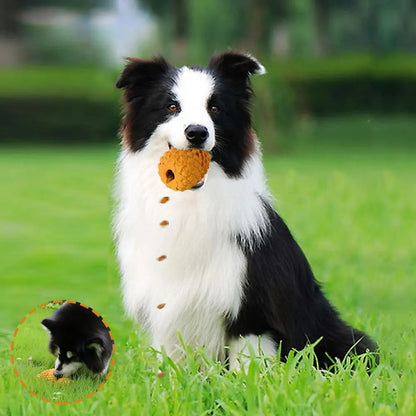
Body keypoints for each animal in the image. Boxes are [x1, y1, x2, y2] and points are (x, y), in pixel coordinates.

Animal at [114, 51, 376, 368]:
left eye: (215, 107)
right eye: (171, 106)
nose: (197, 132)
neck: (191, 202)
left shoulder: (251, 313)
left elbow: (247, 367)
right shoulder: (167, 310)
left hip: (346, 340)